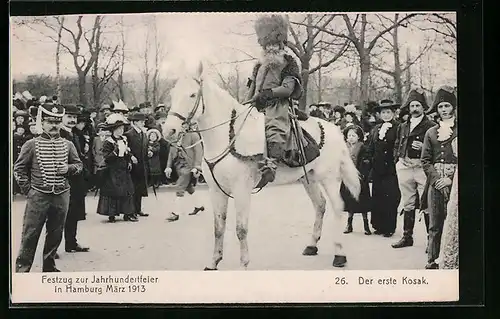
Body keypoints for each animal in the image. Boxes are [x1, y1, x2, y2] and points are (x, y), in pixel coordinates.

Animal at [162, 62, 362, 270]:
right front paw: (213, 262)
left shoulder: (241, 190)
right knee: (320, 205)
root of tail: (335, 129)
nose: (169, 131)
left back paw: (339, 254)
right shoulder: (216, 191)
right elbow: (218, 228)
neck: (227, 136)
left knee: (337, 207)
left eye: (193, 95)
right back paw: (312, 246)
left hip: (329, 178)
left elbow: (241, 229)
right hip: (309, 178)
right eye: (172, 94)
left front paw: (243, 264)